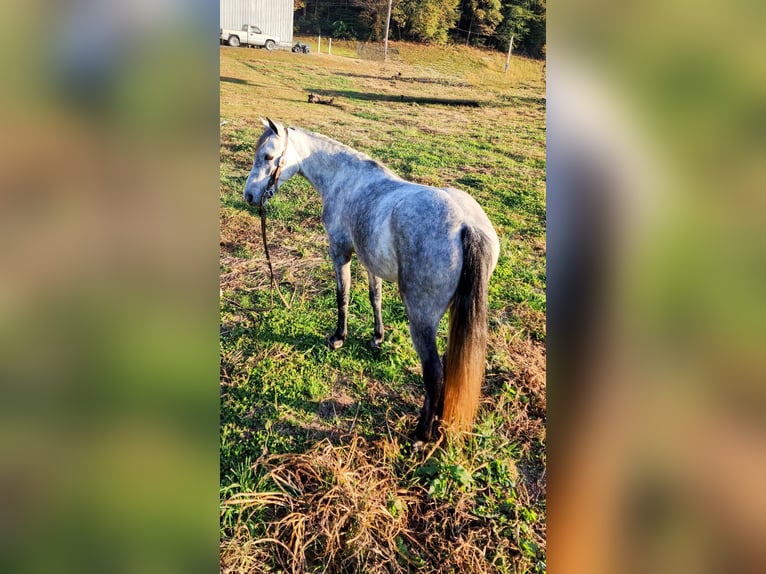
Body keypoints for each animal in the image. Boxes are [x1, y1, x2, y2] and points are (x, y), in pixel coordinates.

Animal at [243, 116, 500, 440]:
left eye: (267, 157)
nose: (249, 196)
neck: (347, 180)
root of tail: (467, 225)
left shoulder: (340, 252)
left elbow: (343, 296)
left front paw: (338, 337)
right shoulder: (370, 262)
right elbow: (374, 297)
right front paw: (378, 337)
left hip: (421, 320)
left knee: (434, 373)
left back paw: (421, 434)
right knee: (446, 366)